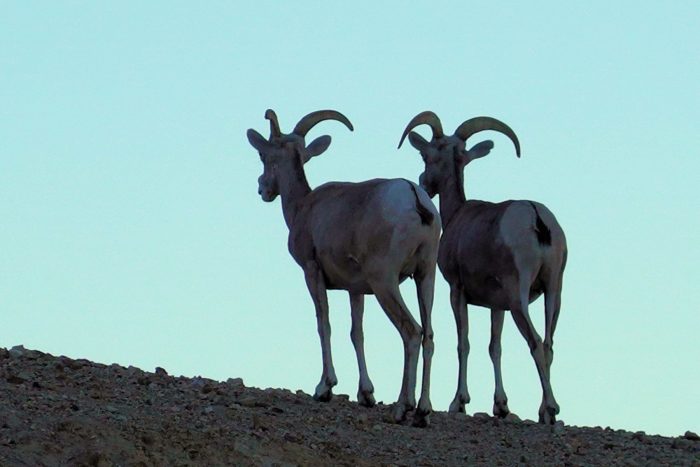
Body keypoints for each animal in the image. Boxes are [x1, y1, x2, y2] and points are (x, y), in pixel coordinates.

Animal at [249, 109, 440, 428]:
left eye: (264, 155)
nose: (262, 188)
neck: (304, 207)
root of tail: (414, 195)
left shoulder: (312, 272)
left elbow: (323, 324)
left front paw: (324, 388)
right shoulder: (356, 289)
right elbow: (356, 333)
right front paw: (366, 395)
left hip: (386, 282)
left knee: (411, 332)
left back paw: (403, 408)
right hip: (425, 277)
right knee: (429, 335)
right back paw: (423, 413)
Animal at [400, 112, 568, 424]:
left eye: (426, 155)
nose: (423, 183)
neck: (457, 215)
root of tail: (537, 218)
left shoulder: (457, 291)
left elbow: (463, 343)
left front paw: (459, 402)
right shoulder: (496, 306)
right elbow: (494, 347)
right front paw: (500, 406)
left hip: (518, 298)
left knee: (536, 342)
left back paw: (551, 409)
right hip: (554, 291)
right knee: (549, 344)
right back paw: (543, 411)